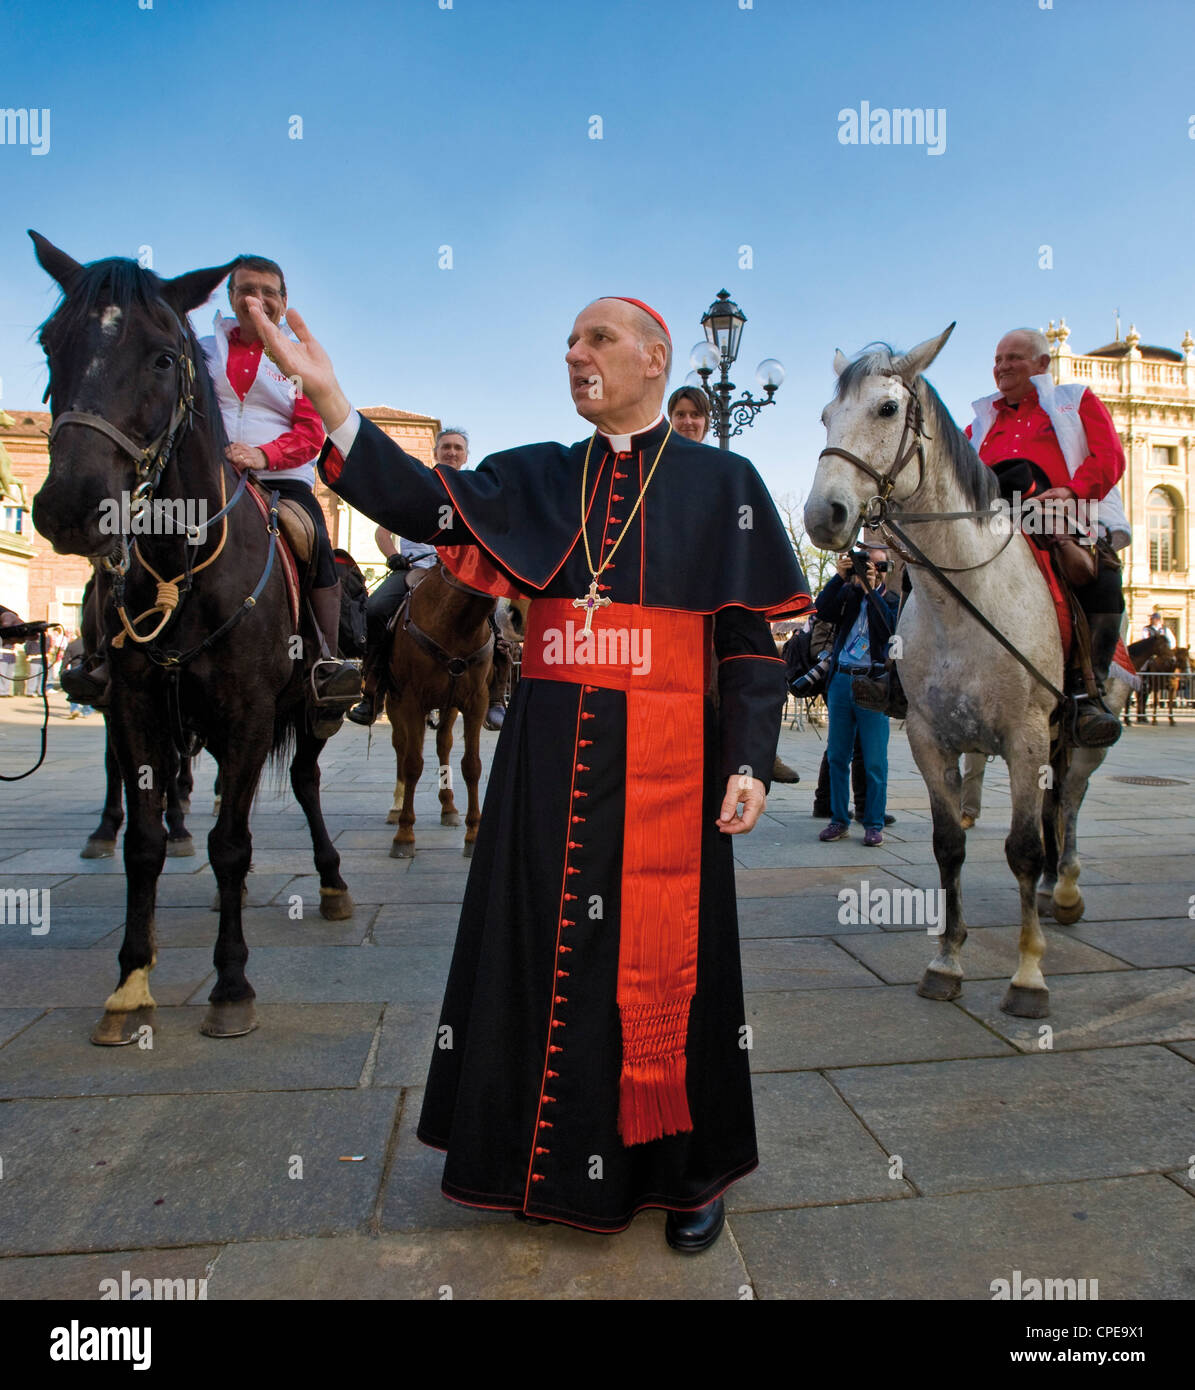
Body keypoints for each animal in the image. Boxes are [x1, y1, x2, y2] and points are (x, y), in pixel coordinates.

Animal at [30, 233, 352, 1045]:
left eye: (161, 358)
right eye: (51, 345)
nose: (71, 502)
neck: (182, 566)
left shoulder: (249, 711)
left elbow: (232, 843)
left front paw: (231, 983)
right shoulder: (135, 707)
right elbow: (144, 843)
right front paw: (129, 983)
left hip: (309, 708)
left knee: (305, 784)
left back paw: (331, 880)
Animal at [383, 564, 494, 856]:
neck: (457, 624)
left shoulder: (476, 701)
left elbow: (472, 765)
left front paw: (473, 833)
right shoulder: (411, 699)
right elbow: (412, 763)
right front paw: (404, 834)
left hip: (449, 704)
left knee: (443, 743)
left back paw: (448, 807)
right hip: (394, 700)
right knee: (401, 746)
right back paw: (396, 807)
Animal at [800, 325, 1128, 1023]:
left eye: (887, 409)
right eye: (825, 415)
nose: (824, 515)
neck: (962, 599)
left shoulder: (1025, 736)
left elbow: (1023, 849)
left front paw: (1028, 976)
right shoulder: (930, 739)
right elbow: (950, 844)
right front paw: (947, 961)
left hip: (1081, 736)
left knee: (1070, 806)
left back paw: (1065, 890)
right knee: (1055, 809)